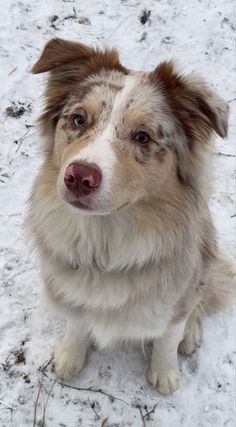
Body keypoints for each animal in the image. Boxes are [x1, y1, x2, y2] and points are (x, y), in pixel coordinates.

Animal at [27, 38, 234, 396]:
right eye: (78, 119)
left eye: (142, 136)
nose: (79, 177)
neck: (104, 242)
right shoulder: (72, 287)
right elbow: (77, 321)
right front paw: (71, 354)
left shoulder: (178, 295)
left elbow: (168, 335)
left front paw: (165, 373)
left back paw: (191, 336)